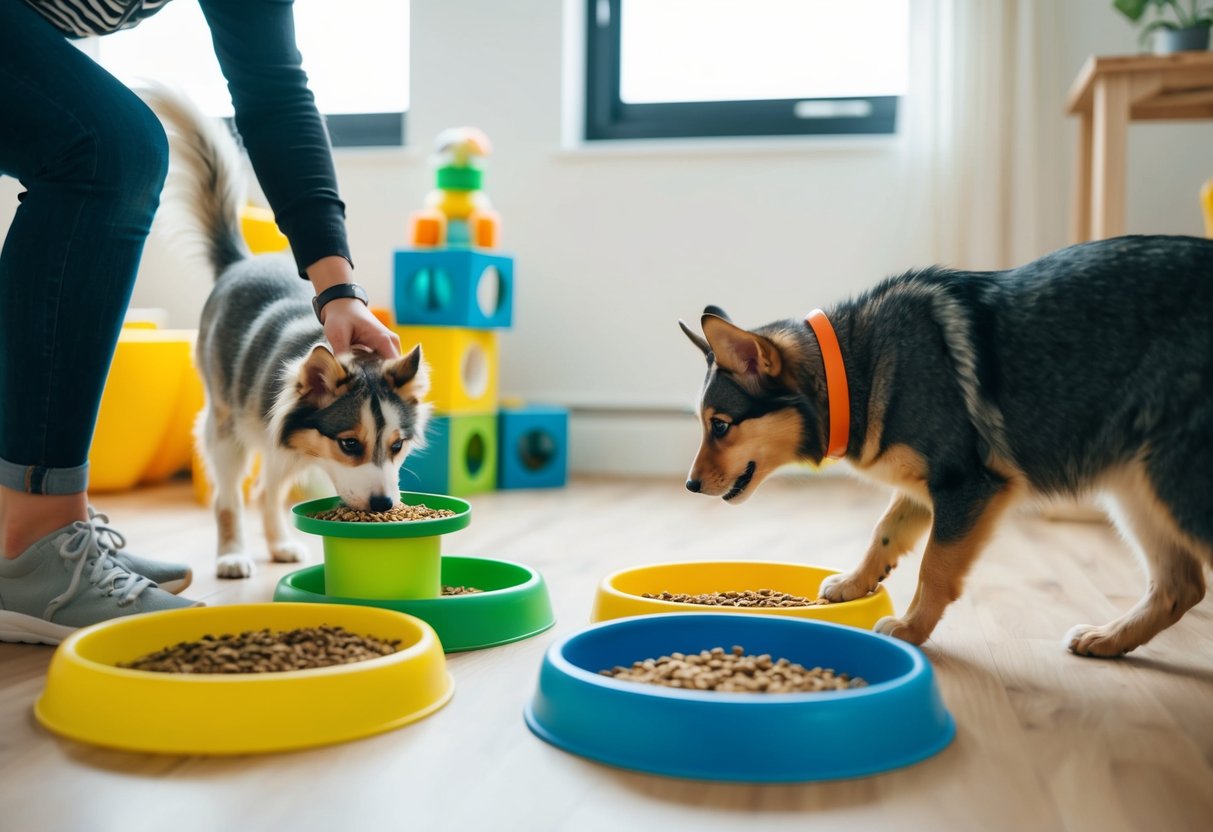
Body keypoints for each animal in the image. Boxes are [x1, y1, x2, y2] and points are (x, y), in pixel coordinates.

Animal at [143, 86, 429, 579]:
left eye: (397, 446)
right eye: (349, 444)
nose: (382, 504)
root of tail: (241, 262)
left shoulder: (290, 443)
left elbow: (269, 493)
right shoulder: (253, 434)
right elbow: (230, 499)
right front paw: (232, 553)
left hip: (279, 446)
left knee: (266, 491)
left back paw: (279, 544)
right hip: (227, 424)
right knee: (233, 494)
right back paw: (233, 553)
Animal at [684, 235, 1213, 659]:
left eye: (721, 426)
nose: (689, 485)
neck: (856, 374)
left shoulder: (967, 487)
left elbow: (935, 568)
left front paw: (910, 629)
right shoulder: (924, 487)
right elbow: (885, 531)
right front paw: (856, 583)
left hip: (1170, 488)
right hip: (1134, 486)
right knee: (1180, 586)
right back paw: (1108, 639)